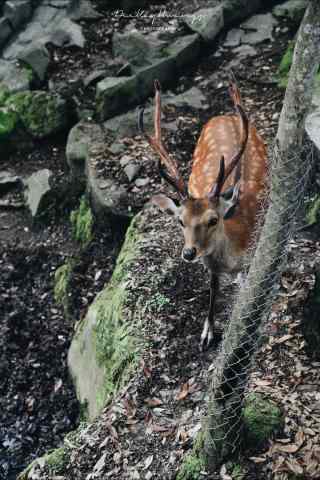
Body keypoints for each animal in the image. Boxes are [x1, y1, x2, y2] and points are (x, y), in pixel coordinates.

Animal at [138, 78, 268, 348]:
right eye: (180, 221)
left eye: (213, 220)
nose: (188, 253)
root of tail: (225, 115)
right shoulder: (210, 264)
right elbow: (213, 286)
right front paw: (207, 332)